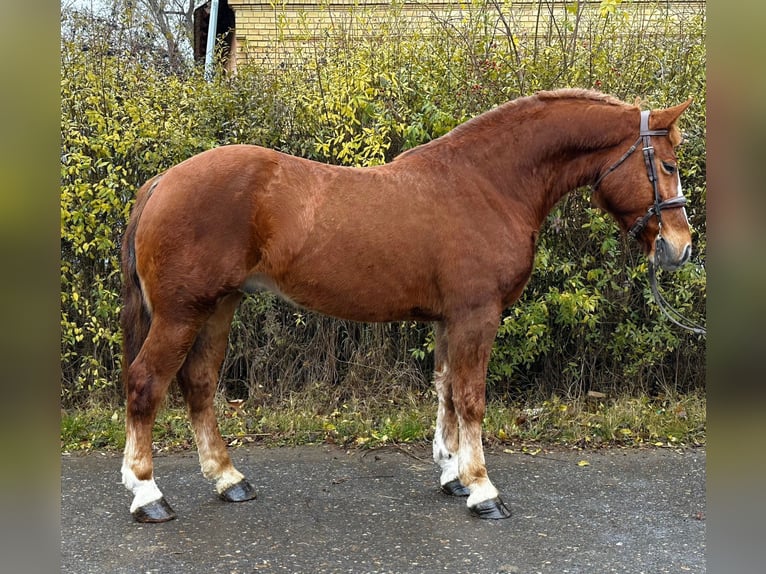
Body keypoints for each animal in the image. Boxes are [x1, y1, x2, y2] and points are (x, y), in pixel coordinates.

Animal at [120, 88, 694, 522]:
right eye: (667, 165)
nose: (680, 247)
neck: (488, 185)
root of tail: (162, 182)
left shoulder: (450, 320)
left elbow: (446, 393)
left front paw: (453, 475)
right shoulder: (477, 315)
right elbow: (471, 399)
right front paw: (483, 490)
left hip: (219, 307)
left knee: (199, 384)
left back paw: (228, 479)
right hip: (181, 314)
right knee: (146, 384)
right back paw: (148, 495)